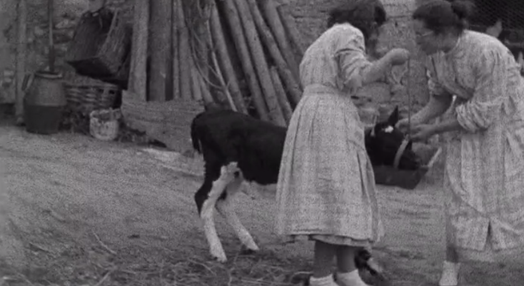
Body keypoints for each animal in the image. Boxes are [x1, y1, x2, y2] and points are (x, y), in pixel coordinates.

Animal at [190, 106, 420, 274]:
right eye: (388, 143)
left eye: (403, 137)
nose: (416, 160)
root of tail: (204, 115)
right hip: (219, 166)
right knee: (203, 198)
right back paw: (218, 252)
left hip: (237, 173)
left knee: (223, 202)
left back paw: (249, 243)